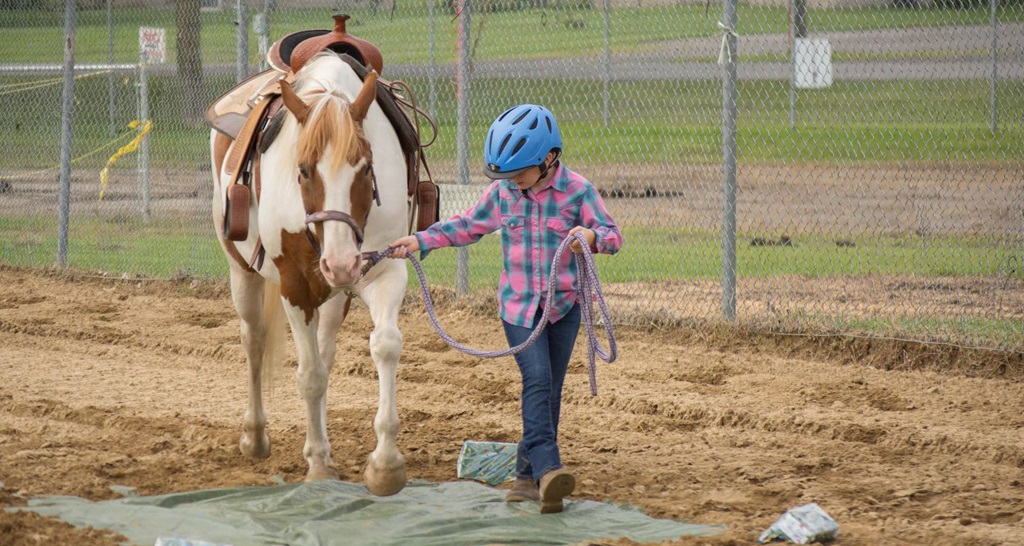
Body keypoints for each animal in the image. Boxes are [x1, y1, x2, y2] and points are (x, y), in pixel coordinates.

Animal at [209, 52, 409, 496]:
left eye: (366, 168)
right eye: (302, 171)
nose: (341, 262)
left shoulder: (385, 270)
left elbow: (385, 346)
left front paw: (385, 464)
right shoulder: (295, 287)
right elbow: (310, 376)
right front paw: (317, 464)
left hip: (333, 296)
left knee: (325, 350)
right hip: (242, 274)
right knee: (255, 341)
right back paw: (255, 435)